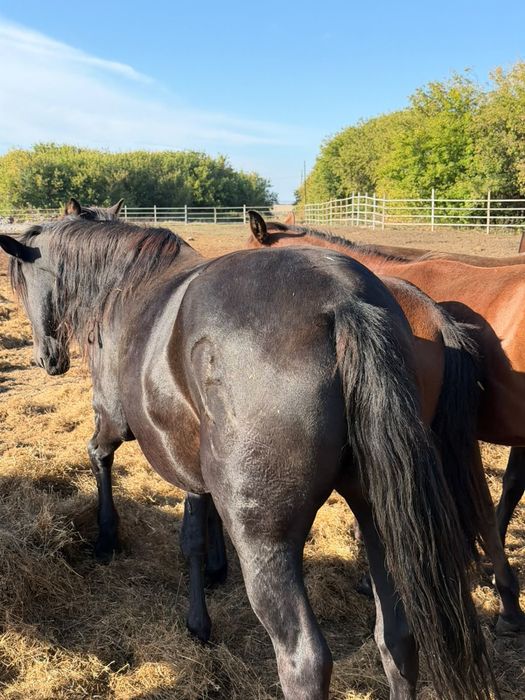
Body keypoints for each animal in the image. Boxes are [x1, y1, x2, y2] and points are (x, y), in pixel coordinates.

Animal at [0, 219, 497, 699]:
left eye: (23, 283)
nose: (47, 360)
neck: (126, 285)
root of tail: (344, 303)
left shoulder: (113, 421)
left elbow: (109, 466)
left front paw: (112, 542)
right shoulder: (198, 470)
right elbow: (200, 526)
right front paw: (213, 574)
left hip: (266, 543)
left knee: (305, 662)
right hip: (379, 517)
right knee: (396, 638)